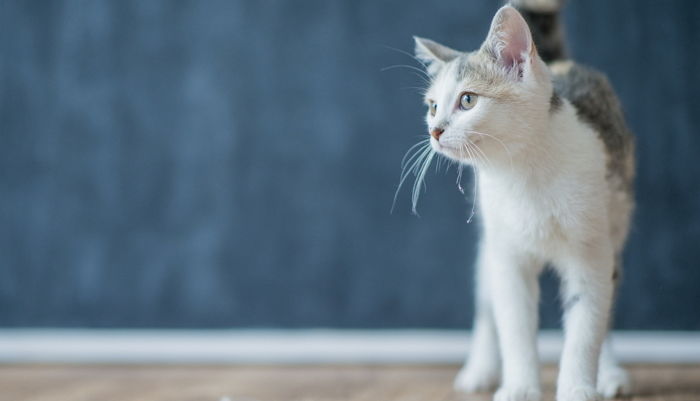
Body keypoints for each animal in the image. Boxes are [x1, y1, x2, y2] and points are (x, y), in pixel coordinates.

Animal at [404, 0, 636, 400]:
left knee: (608, 306)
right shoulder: (507, 256)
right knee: (486, 304)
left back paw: (609, 374)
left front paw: (577, 387)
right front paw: (519, 386)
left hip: (615, 226)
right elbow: (513, 325)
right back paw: (479, 370)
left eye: (468, 100)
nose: (435, 131)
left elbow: (587, 324)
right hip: (489, 240)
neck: (525, 175)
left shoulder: (591, 252)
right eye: (432, 107)